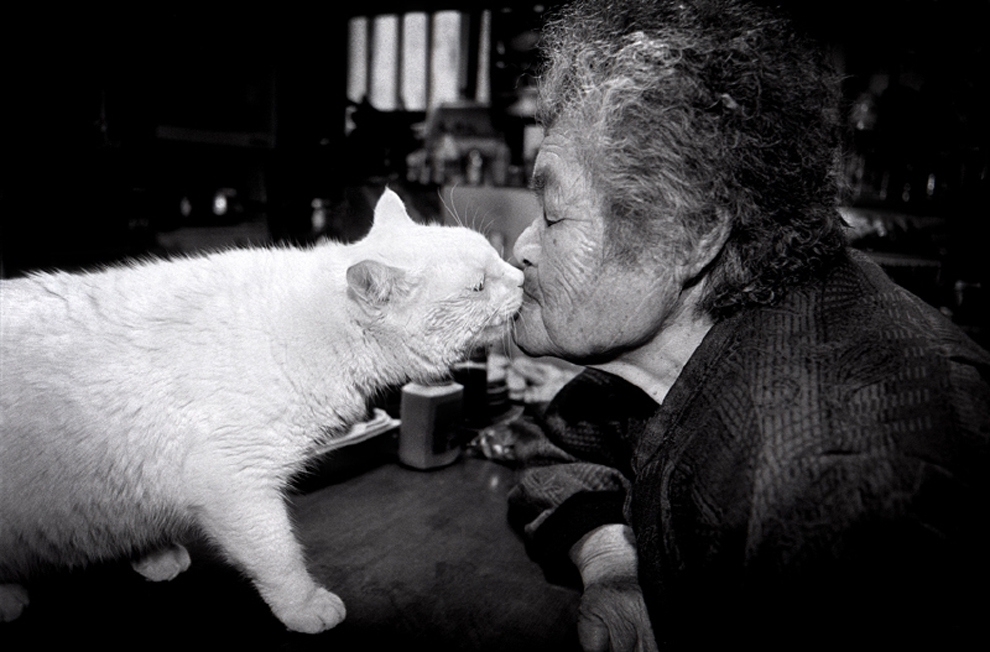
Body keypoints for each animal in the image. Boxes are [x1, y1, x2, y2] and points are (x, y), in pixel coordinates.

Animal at [0, 187, 528, 632]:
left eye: (494, 257)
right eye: (479, 286)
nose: (523, 276)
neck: (323, 325)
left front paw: (153, 554)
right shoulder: (236, 483)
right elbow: (279, 555)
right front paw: (305, 605)